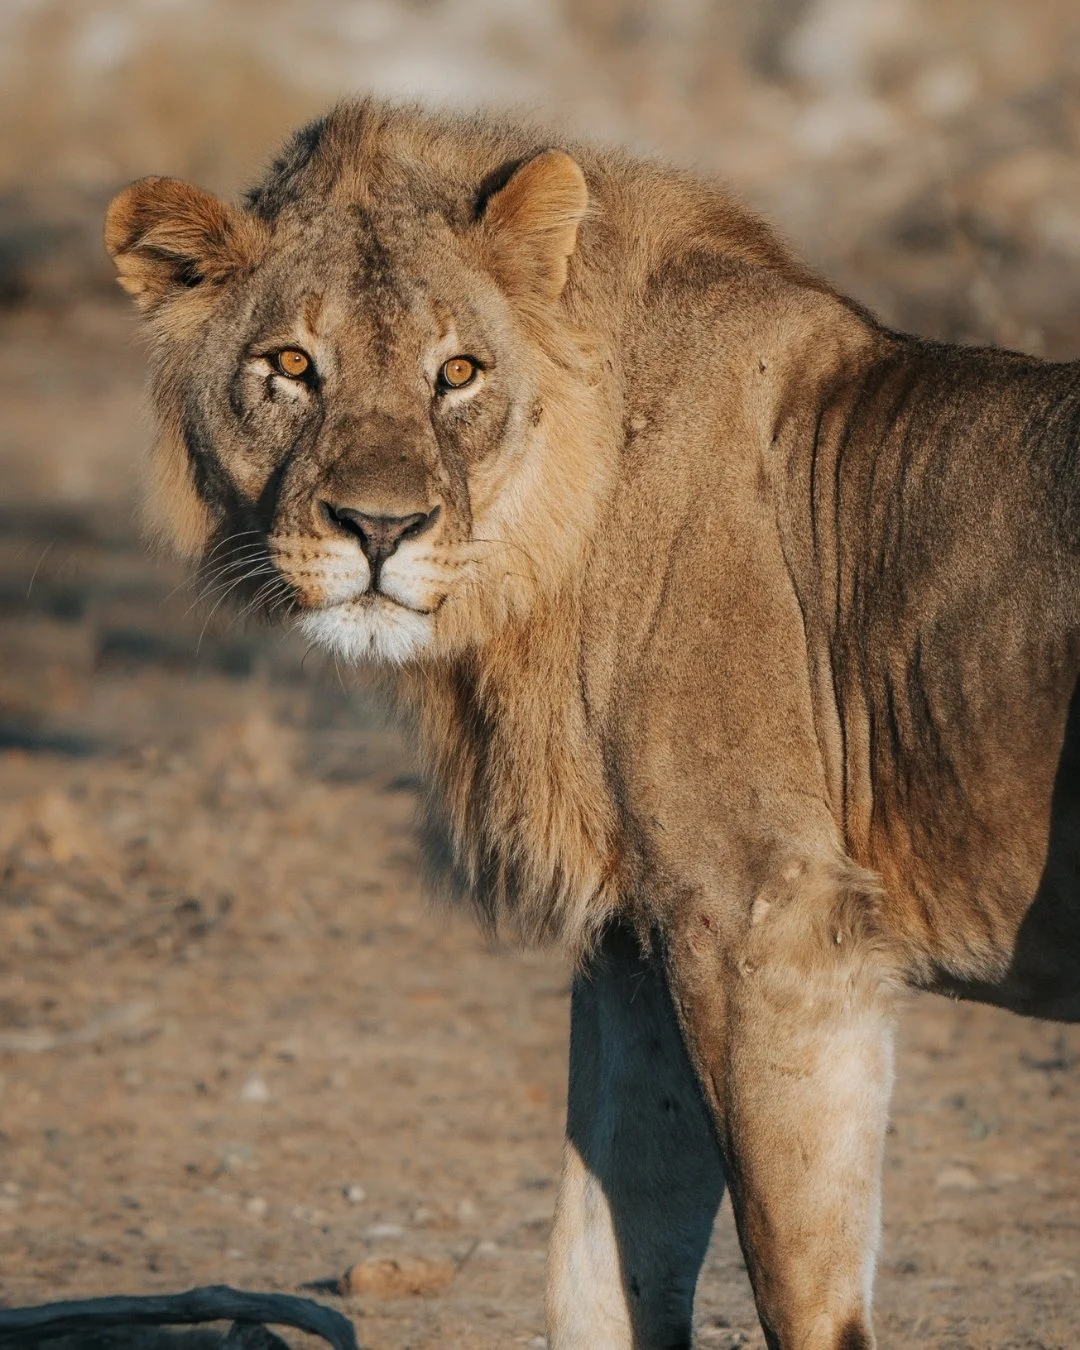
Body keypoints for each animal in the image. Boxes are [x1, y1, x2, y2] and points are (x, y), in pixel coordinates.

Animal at [104, 99, 1080, 1350]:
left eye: (457, 372)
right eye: (290, 367)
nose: (380, 528)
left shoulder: (771, 916)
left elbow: (799, 1284)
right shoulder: (637, 938)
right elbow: (597, 1268)